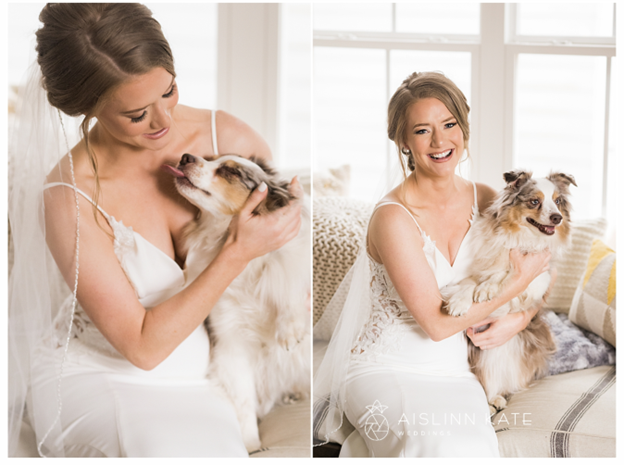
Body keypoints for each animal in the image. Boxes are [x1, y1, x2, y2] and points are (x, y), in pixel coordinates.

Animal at [162, 154, 310, 452]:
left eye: (230, 171)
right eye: (210, 158)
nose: (185, 157)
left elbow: (290, 275)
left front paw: (289, 328)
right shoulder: (232, 345)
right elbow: (244, 401)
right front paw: (252, 445)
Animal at [438, 170, 576, 414]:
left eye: (558, 201)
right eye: (534, 201)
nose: (557, 218)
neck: (522, 238)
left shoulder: (538, 279)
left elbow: (506, 276)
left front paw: (487, 288)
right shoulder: (476, 271)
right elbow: (469, 283)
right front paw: (460, 302)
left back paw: (497, 399)